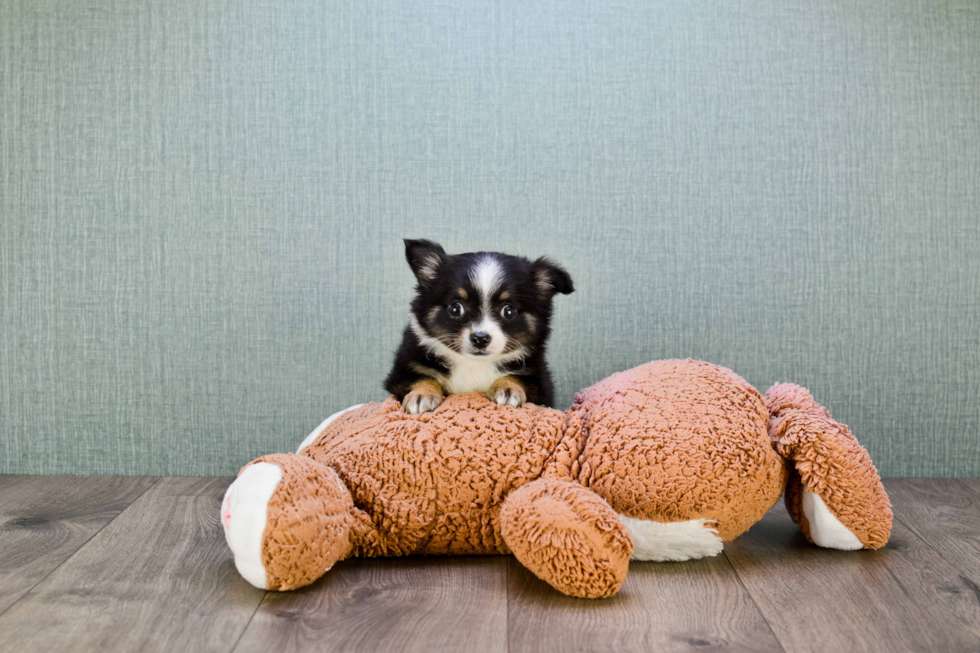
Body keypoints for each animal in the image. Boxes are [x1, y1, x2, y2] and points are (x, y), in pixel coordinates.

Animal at [384, 238, 576, 412]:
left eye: (509, 311)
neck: (474, 364)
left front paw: (507, 388)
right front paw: (422, 394)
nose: (480, 339)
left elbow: (518, 377)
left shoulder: (540, 383)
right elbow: (421, 378)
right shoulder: (403, 371)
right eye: (455, 308)